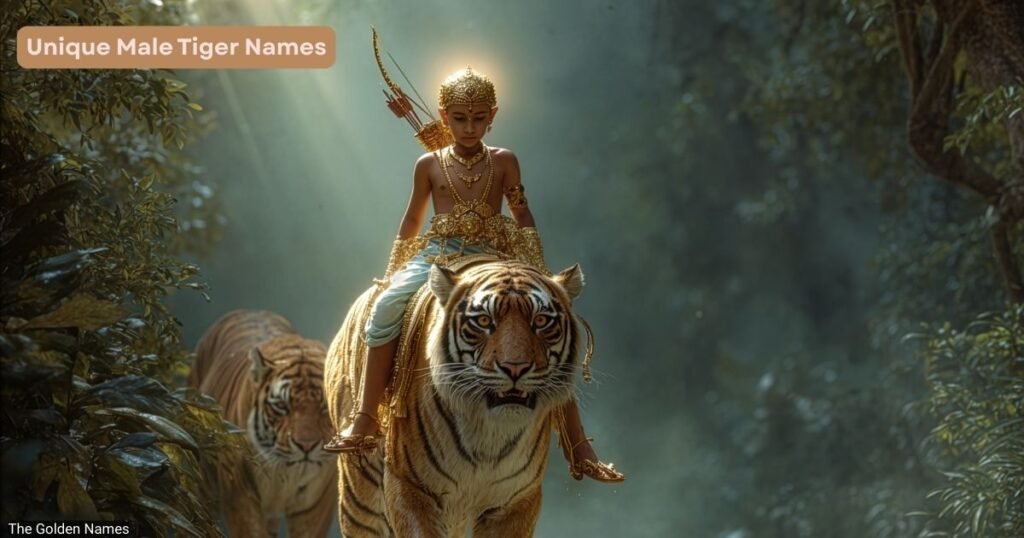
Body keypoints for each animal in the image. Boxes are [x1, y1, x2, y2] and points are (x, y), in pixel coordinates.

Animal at [188, 309, 338, 538]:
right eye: (282, 406)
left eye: (324, 406)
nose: (306, 446)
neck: (286, 473)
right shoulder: (240, 492)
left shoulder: (316, 501)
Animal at [324, 258, 585, 537]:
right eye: (484, 320)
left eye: (541, 320)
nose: (515, 368)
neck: (490, 433)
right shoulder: (410, 485)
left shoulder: (516, 499)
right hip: (361, 502)